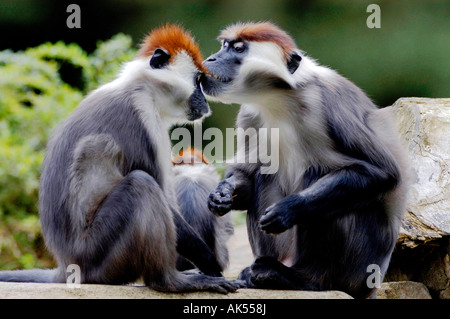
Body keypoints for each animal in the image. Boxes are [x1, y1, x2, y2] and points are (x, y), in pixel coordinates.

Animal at [0, 24, 243, 296]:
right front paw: (211, 265)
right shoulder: (144, 119)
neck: (140, 87)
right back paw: (170, 281)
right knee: (141, 185)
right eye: (198, 81)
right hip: (99, 253)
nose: (205, 102)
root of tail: (67, 266)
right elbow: (166, 200)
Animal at [201, 22, 412, 300]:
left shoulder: (331, 102)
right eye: (224, 46)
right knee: (266, 173)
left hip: (359, 271)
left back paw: (303, 279)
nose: (211, 58)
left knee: (319, 173)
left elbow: (382, 173)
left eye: (238, 49)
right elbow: (246, 179)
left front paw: (289, 208)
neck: (279, 100)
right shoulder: (249, 115)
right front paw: (221, 194)